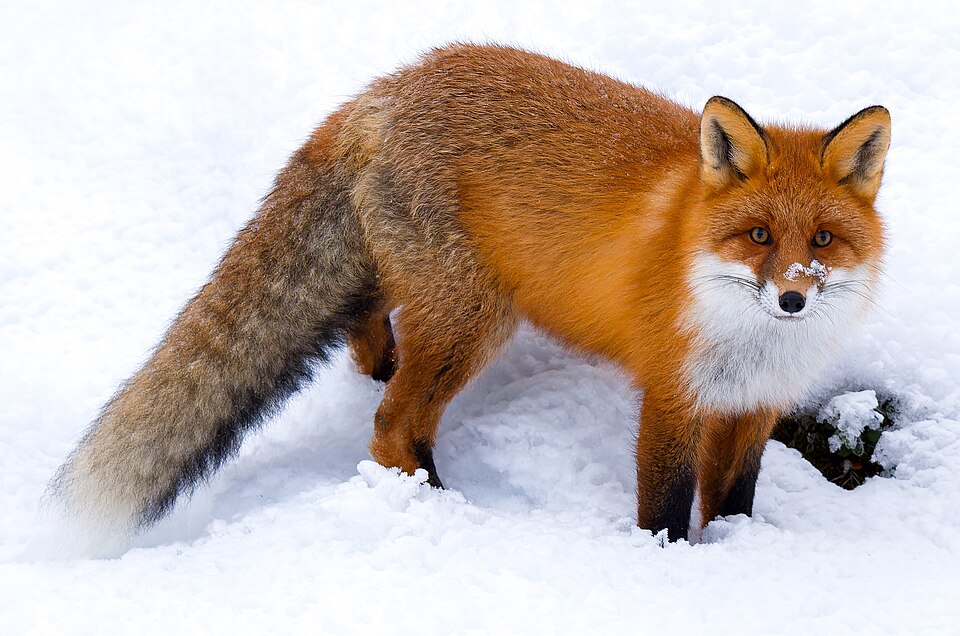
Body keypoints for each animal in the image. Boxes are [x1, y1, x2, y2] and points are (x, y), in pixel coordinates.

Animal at [50, 43, 890, 544]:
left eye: (821, 240)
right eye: (758, 235)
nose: (793, 300)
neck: (754, 344)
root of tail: (383, 89)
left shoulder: (754, 407)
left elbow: (734, 501)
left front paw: (737, 553)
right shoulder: (673, 397)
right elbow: (665, 507)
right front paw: (669, 563)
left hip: (426, 293)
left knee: (367, 332)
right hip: (474, 319)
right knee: (391, 427)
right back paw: (444, 511)